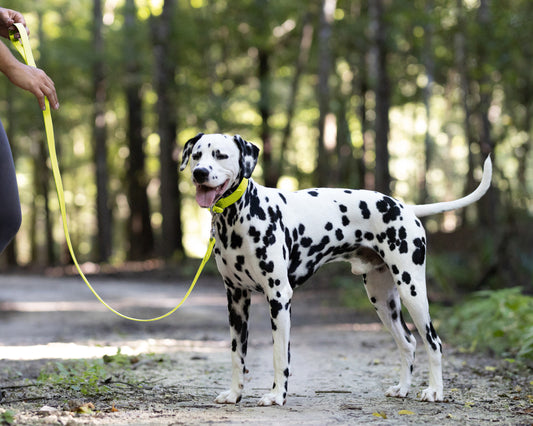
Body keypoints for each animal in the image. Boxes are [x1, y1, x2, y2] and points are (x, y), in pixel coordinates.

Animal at [181, 132, 492, 406]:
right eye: (196, 155)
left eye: (220, 155)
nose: (199, 173)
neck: (240, 217)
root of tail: (405, 207)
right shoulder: (236, 299)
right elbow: (237, 355)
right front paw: (234, 394)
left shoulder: (279, 297)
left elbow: (280, 355)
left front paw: (277, 396)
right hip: (383, 301)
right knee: (408, 343)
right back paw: (402, 389)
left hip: (412, 291)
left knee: (433, 342)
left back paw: (435, 391)